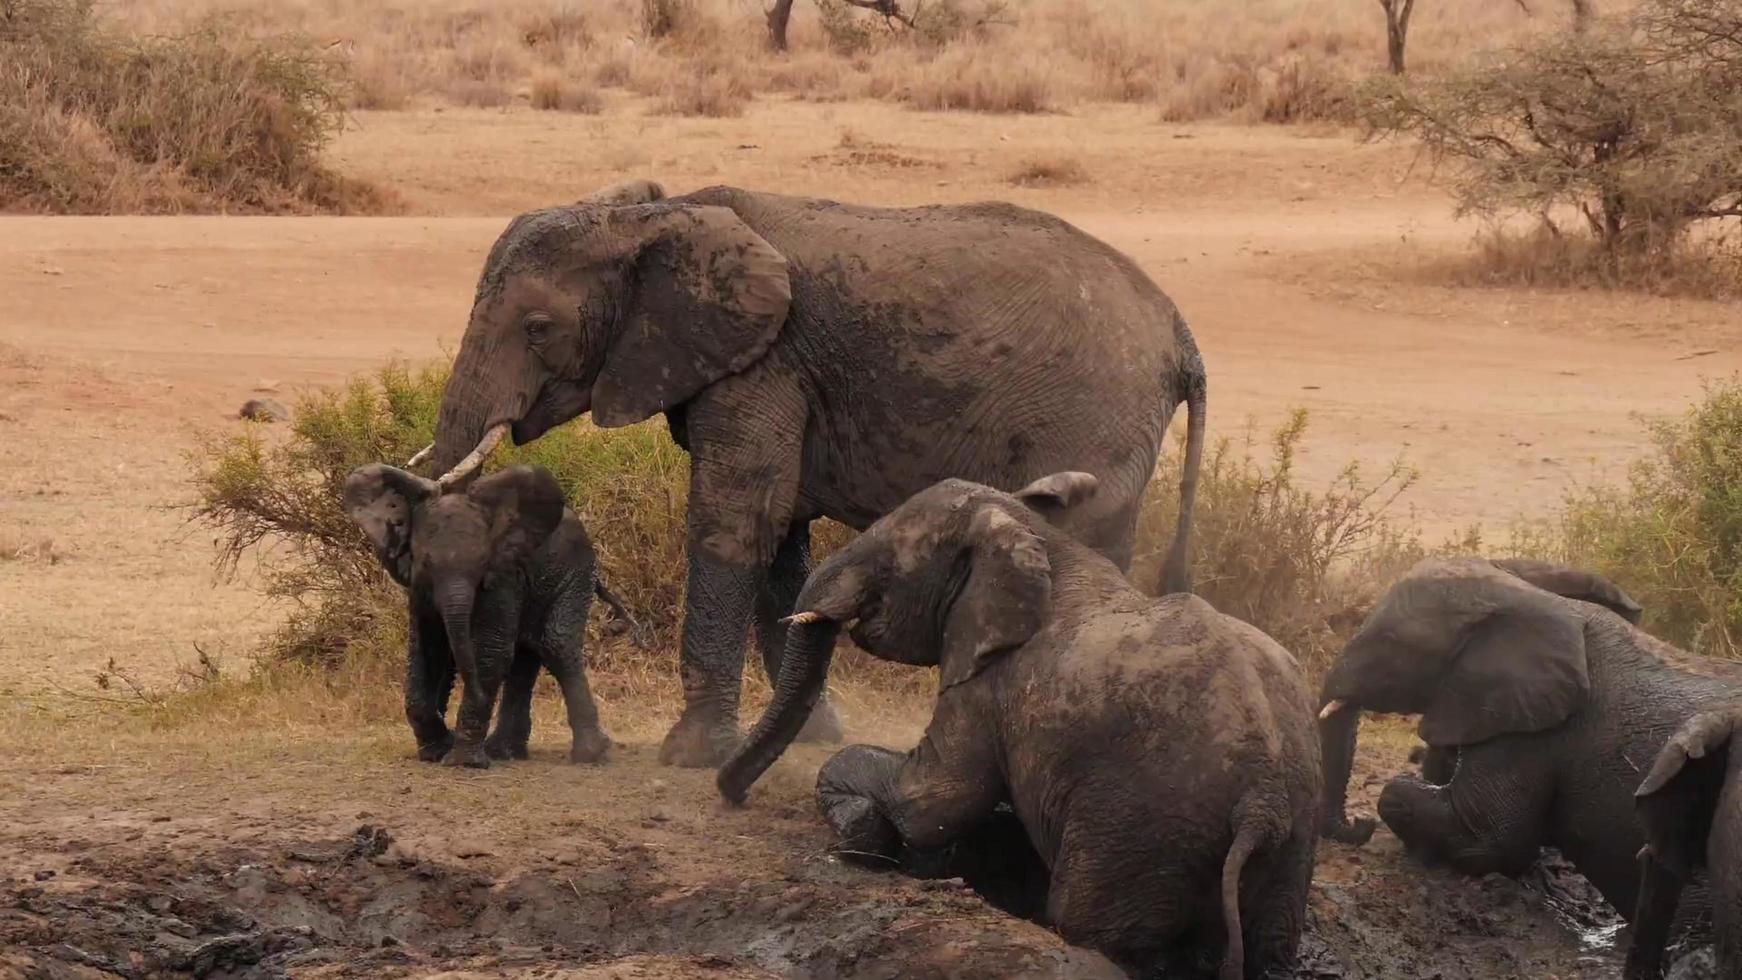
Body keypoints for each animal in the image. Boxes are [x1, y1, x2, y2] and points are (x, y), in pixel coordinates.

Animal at [343, 463, 637, 769]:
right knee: (527, 652)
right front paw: (436, 751)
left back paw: (591, 754)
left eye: (483, 563)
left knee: (557, 645)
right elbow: (425, 651)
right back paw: (504, 752)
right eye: (424, 564)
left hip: (575, 572)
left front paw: (462, 761)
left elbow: (489, 650)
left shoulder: (503, 575)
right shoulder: (419, 589)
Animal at [421, 180, 1212, 769]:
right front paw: (807, 735)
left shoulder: (765, 361)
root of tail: (1181, 333)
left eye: (537, 329)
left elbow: (738, 519)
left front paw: (692, 756)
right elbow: (783, 541)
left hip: (1093, 416)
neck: (655, 215)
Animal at [714, 469, 1309, 974]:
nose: (733, 797)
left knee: (1095, 930)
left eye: (888, 561)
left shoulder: (990, 677)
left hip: (1143, 826)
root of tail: (1261, 799)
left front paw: (859, 832)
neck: (1036, 535)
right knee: (1270, 949)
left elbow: (933, 801)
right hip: (1285, 848)